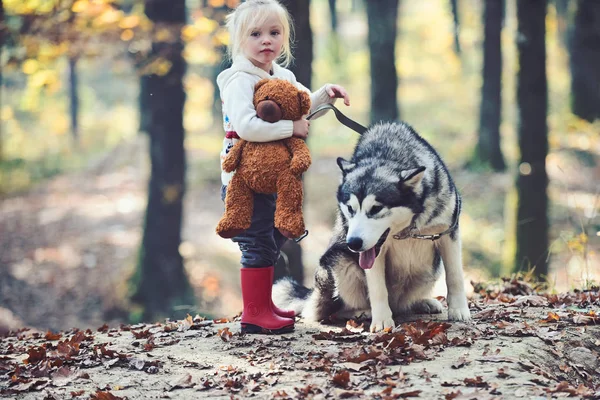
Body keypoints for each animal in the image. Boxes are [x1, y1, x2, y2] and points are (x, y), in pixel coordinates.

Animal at [274, 121, 474, 332]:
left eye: (376, 208)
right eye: (350, 208)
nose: (353, 243)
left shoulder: (448, 232)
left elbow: (455, 275)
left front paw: (459, 310)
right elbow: (377, 288)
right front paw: (382, 321)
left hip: (429, 271)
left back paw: (422, 302)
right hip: (337, 261)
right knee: (333, 311)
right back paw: (362, 312)